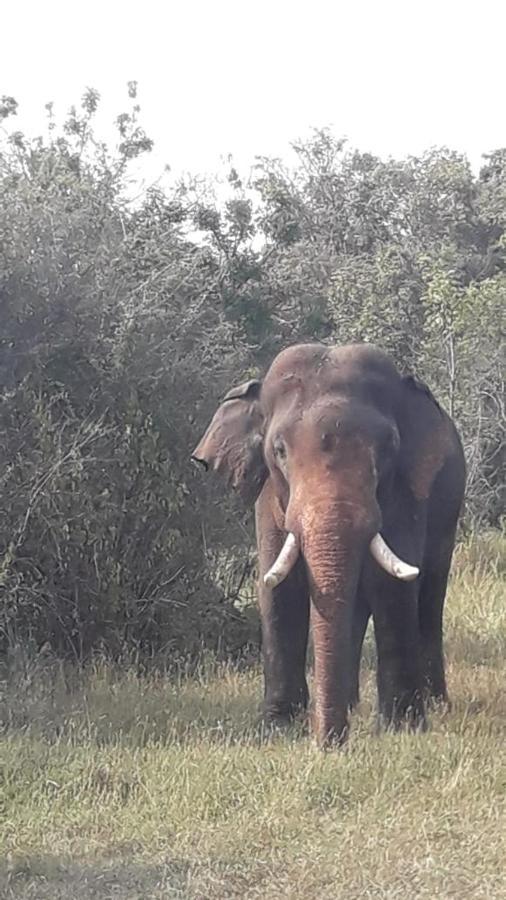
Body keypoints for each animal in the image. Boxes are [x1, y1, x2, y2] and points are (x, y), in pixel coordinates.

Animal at [191, 344, 466, 744]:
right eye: (279, 450)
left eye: (388, 448)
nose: (331, 743)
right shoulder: (270, 496)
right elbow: (280, 589)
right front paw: (279, 728)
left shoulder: (406, 488)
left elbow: (393, 585)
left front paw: (403, 728)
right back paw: (351, 704)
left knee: (430, 593)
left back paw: (435, 705)